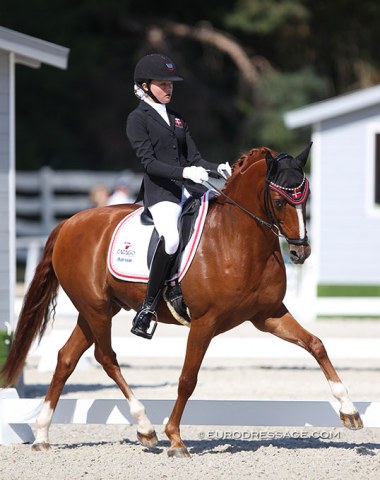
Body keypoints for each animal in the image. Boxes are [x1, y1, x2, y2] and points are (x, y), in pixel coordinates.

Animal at [0, 145, 362, 458]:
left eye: (306, 196)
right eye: (278, 199)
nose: (301, 252)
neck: (238, 239)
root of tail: (68, 222)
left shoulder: (268, 315)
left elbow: (316, 344)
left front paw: (349, 411)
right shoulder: (205, 322)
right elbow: (188, 378)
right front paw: (175, 439)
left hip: (96, 310)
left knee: (66, 358)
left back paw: (42, 434)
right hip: (96, 309)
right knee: (106, 357)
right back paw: (145, 428)